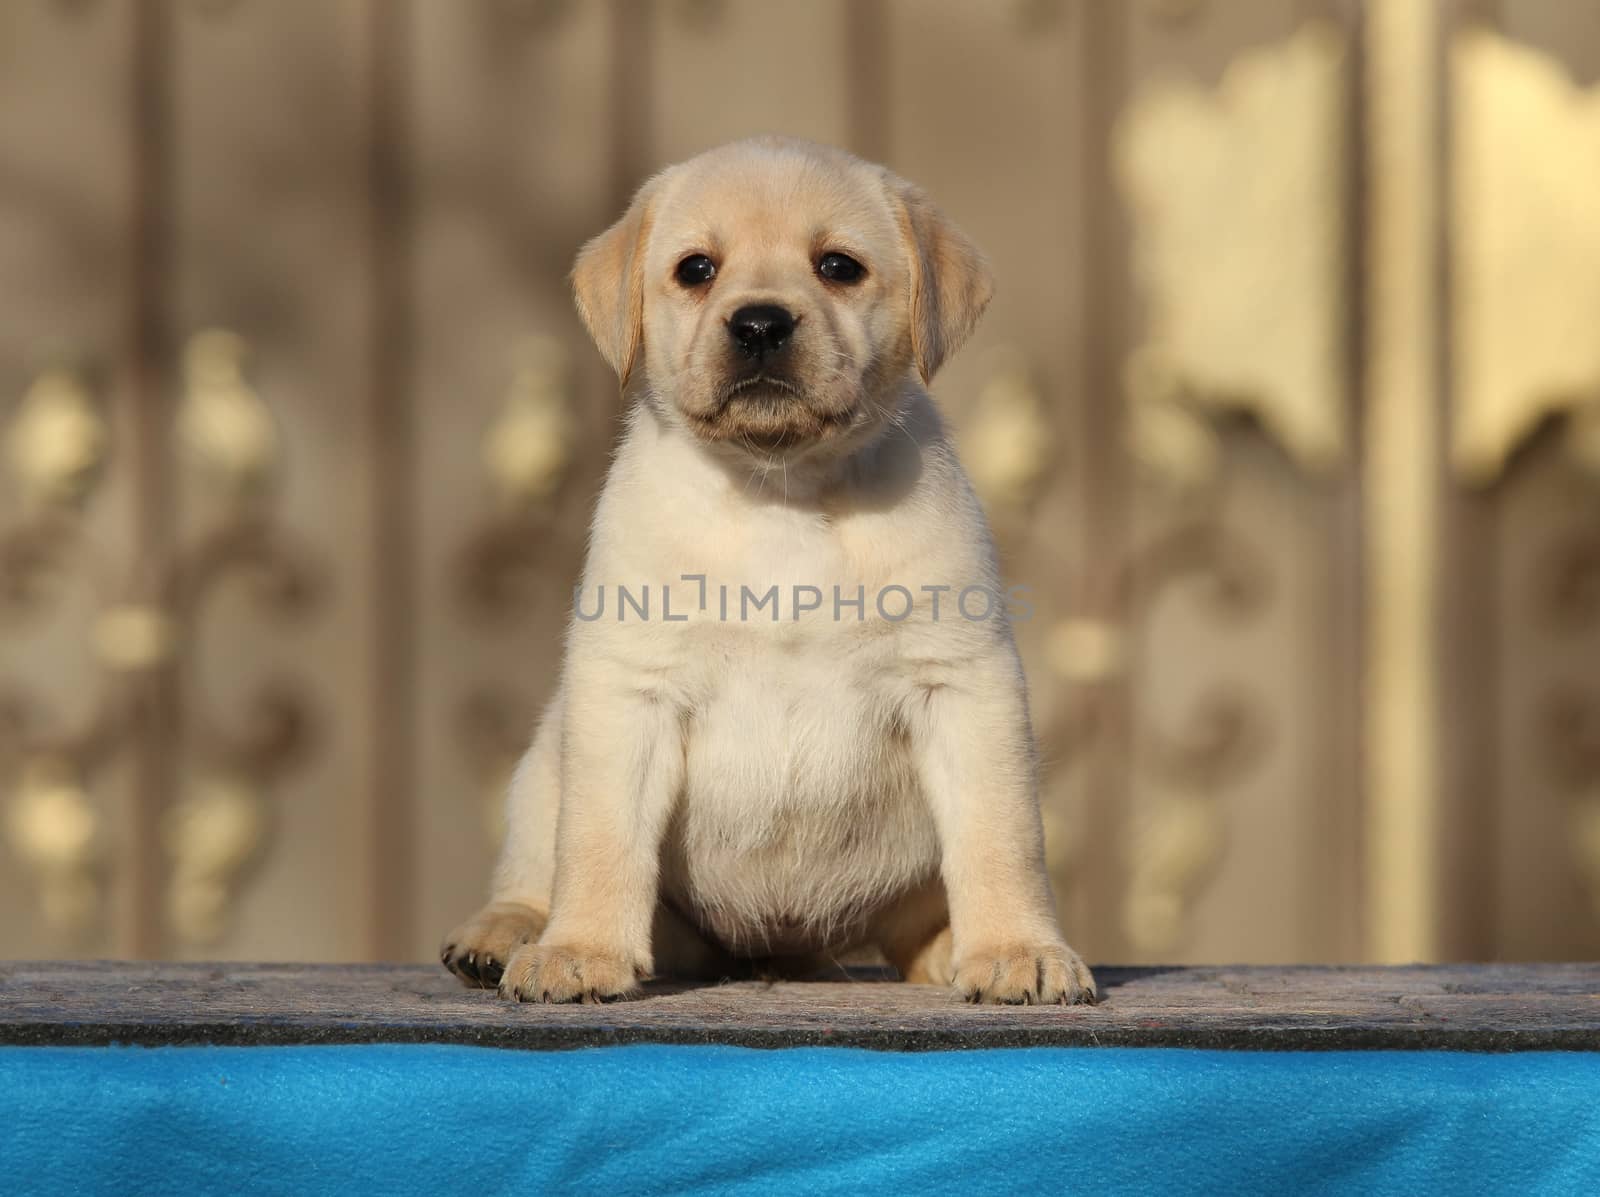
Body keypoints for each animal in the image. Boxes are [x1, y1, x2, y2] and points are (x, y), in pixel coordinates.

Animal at [444, 135, 1094, 1004]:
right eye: (696, 269)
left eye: (839, 266)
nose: (759, 323)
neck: (780, 489)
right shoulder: (630, 691)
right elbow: (599, 840)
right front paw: (580, 950)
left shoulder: (962, 682)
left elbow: (1001, 837)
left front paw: (1019, 948)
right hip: (545, 762)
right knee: (531, 868)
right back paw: (506, 933)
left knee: (916, 918)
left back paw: (950, 948)